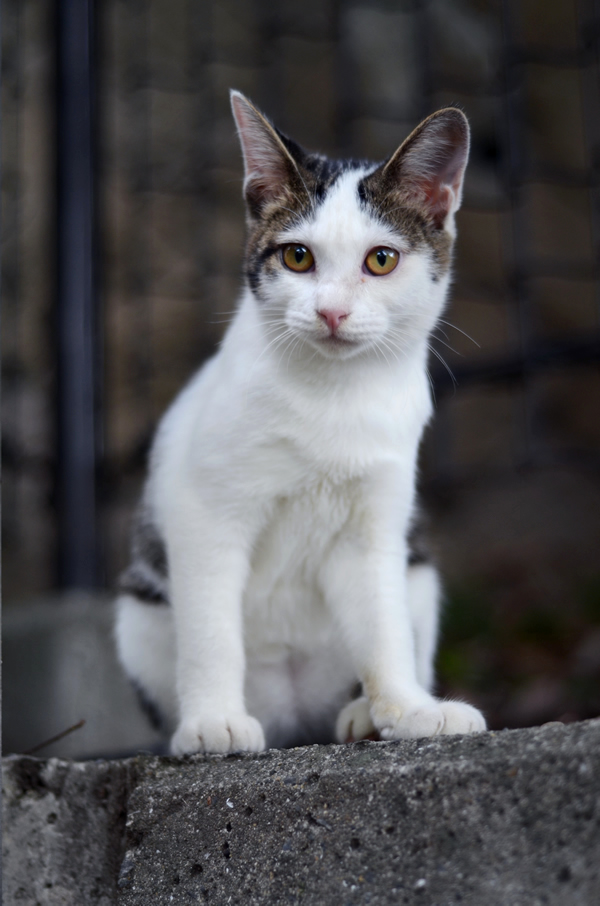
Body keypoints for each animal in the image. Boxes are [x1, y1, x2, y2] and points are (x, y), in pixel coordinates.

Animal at [113, 92, 488, 756]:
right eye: (297, 256)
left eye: (381, 260)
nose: (332, 312)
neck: (331, 397)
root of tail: (297, 719)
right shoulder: (202, 512)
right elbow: (209, 628)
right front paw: (212, 721)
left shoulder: (375, 525)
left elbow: (383, 624)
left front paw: (410, 710)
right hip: (139, 612)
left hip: (418, 570)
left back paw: (363, 713)